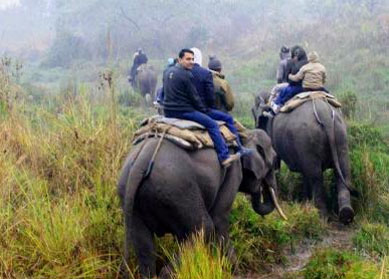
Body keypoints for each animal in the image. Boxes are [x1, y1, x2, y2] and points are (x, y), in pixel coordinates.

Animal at [118, 130, 284, 279]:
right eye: (274, 162)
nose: (261, 186)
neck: (243, 134)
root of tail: (140, 164)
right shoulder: (233, 170)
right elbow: (219, 220)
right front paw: (234, 271)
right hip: (178, 190)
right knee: (204, 227)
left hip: (132, 197)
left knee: (144, 247)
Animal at [250, 91, 356, 226]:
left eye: (253, 112)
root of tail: (325, 115)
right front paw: (305, 202)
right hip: (340, 134)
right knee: (343, 170)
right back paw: (346, 214)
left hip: (307, 139)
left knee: (316, 176)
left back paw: (321, 217)